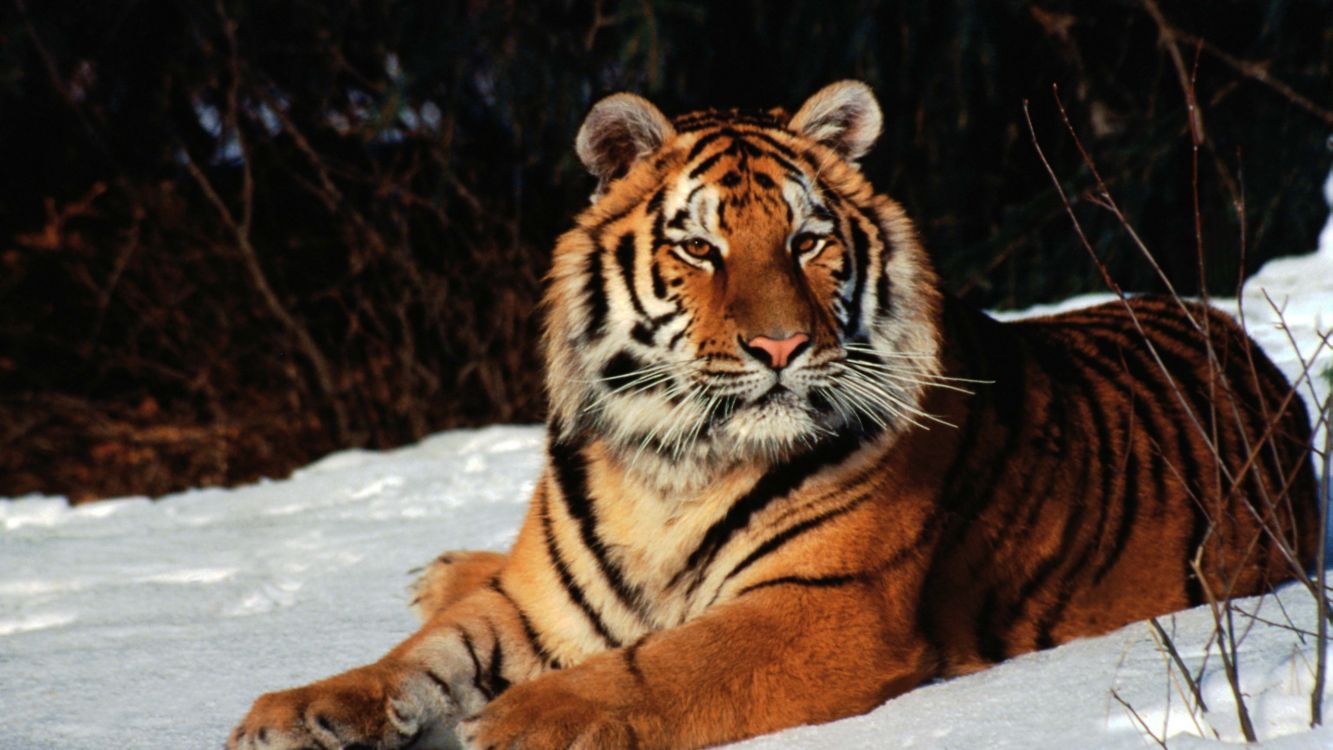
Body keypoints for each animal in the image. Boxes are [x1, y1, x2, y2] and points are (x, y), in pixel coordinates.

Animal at [228, 80, 1320, 750]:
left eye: (805, 242)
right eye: (700, 250)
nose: (782, 348)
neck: (670, 463)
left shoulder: (822, 605)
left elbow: (659, 666)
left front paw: (522, 720)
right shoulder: (540, 602)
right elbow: (421, 657)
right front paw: (300, 708)